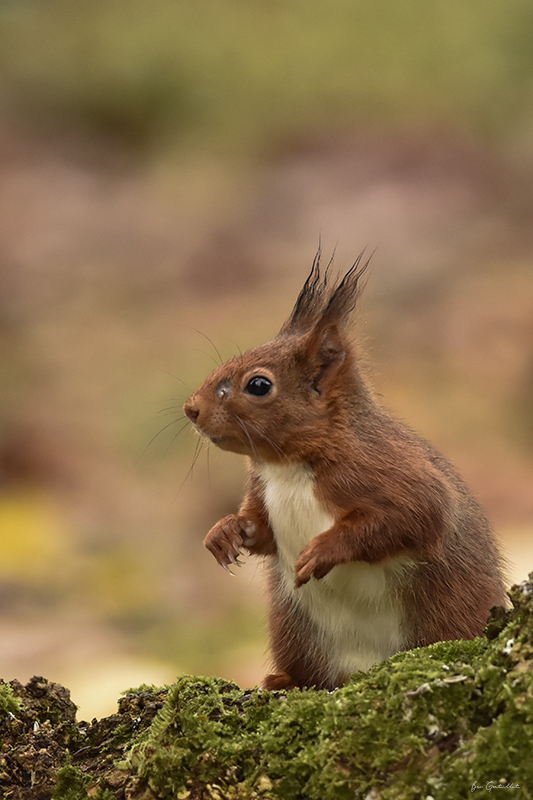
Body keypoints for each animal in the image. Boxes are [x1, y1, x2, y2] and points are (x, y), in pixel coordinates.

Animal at [185, 253, 504, 692]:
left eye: (259, 385)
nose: (191, 408)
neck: (289, 468)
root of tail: (357, 672)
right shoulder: (262, 490)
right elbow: (261, 532)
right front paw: (225, 531)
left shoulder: (389, 470)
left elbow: (415, 516)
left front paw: (323, 550)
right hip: (294, 631)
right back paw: (283, 680)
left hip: (446, 614)